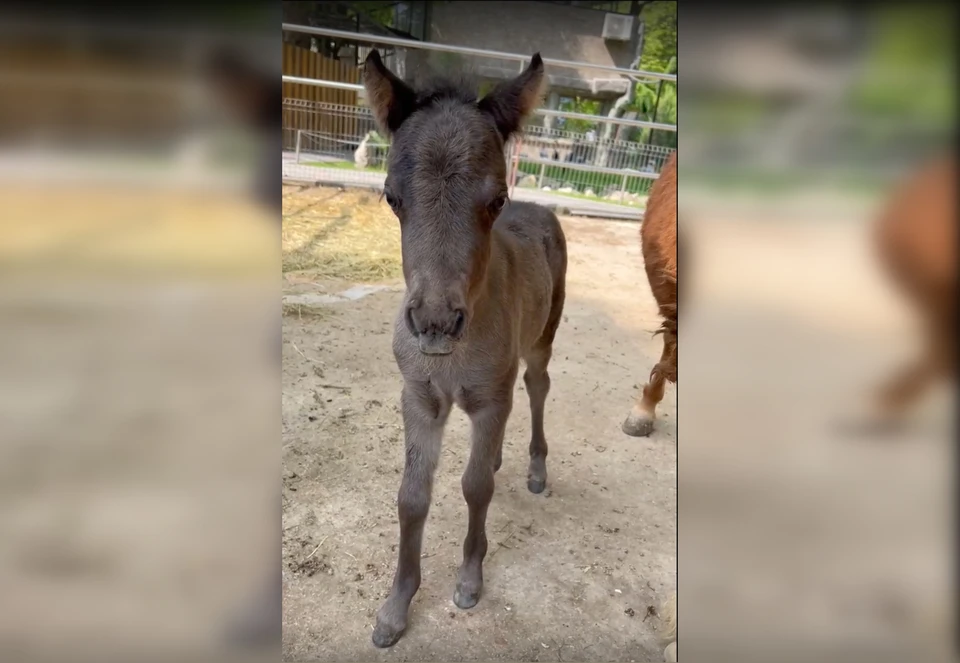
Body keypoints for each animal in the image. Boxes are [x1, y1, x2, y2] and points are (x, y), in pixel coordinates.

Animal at [364, 50, 568, 648]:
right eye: (392, 197)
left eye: (496, 199)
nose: (435, 324)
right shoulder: (420, 398)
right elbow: (412, 496)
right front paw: (395, 609)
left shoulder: (489, 397)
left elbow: (476, 487)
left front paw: (470, 580)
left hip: (542, 340)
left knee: (537, 386)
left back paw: (535, 469)